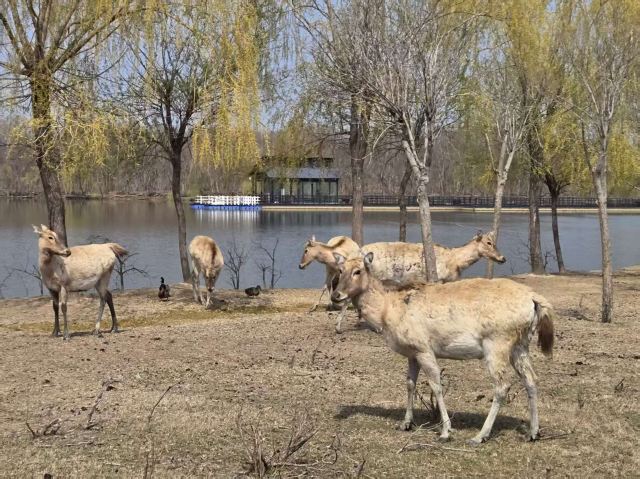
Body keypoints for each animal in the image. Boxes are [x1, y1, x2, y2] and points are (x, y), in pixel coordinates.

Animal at [331, 251, 554, 445]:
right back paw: (533, 432)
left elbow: (436, 385)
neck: (386, 311)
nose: (336, 295)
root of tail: (534, 299)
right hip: (521, 343)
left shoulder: (423, 347)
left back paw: (480, 436)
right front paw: (406, 424)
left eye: (358, 271)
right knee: (531, 379)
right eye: (340, 270)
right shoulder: (412, 352)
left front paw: (446, 431)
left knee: (502, 386)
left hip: (497, 342)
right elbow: (410, 383)